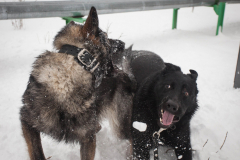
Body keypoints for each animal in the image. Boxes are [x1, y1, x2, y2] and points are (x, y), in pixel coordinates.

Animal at [19, 6, 134, 159]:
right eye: (106, 36)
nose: (123, 43)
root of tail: (129, 77)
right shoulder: (27, 122)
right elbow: (37, 154)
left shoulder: (88, 138)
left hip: (119, 126)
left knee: (131, 136)